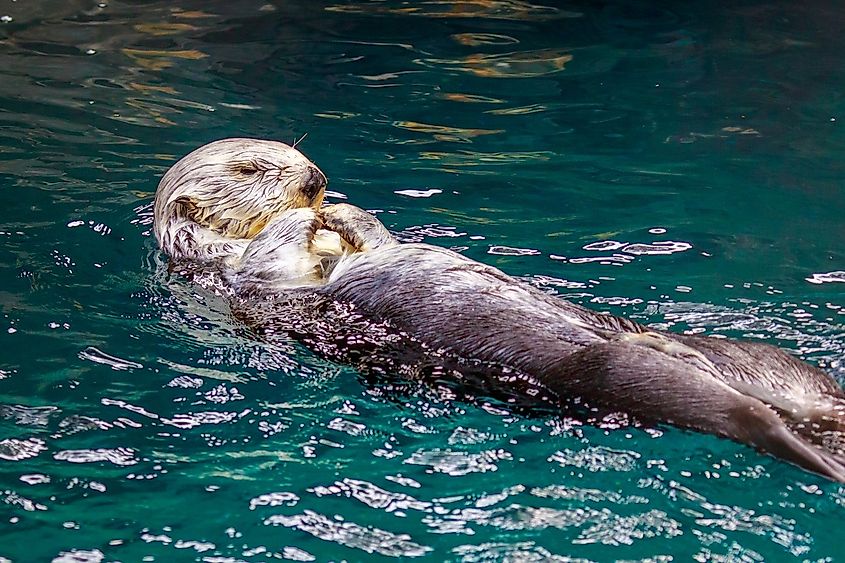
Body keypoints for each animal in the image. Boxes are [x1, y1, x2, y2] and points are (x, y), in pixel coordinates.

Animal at [153, 138, 845, 482]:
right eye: (252, 168)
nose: (316, 181)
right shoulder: (235, 279)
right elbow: (274, 260)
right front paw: (310, 223)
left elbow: (374, 237)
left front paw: (344, 217)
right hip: (618, 376)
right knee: (740, 416)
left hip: (766, 360)